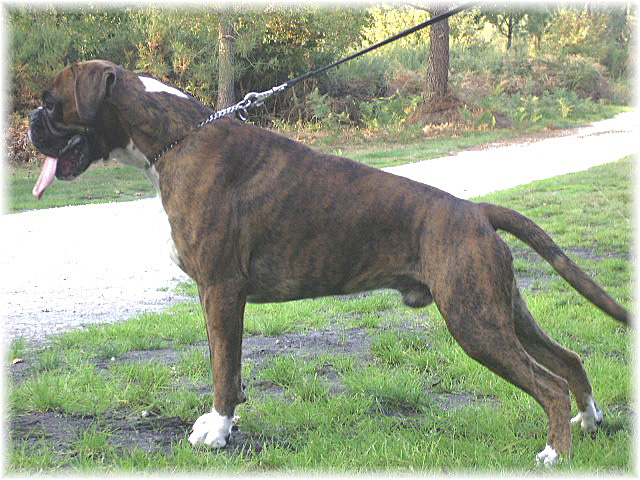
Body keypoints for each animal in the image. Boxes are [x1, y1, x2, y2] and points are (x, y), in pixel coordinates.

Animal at [28, 60, 629, 467]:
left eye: (52, 104)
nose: (31, 120)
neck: (173, 139)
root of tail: (475, 210)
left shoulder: (221, 290)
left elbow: (222, 368)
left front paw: (217, 431)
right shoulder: (222, 296)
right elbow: (230, 366)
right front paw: (227, 421)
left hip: (474, 320)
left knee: (548, 383)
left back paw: (554, 452)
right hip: (499, 309)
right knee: (569, 361)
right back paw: (590, 421)